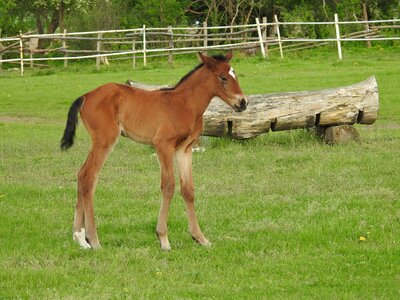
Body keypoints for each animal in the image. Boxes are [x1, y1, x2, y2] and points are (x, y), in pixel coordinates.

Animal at [60, 52, 247, 251]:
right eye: (223, 77)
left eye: (235, 74)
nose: (243, 102)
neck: (184, 104)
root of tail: (86, 96)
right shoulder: (163, 145)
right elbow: (169, 186)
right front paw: (163, 239)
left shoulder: (185, 149)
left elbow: (188, 189)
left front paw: (200, 238)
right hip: (105, 140)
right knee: (88, 176)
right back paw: (93, 239)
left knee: (83, 175)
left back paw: (80, 238)